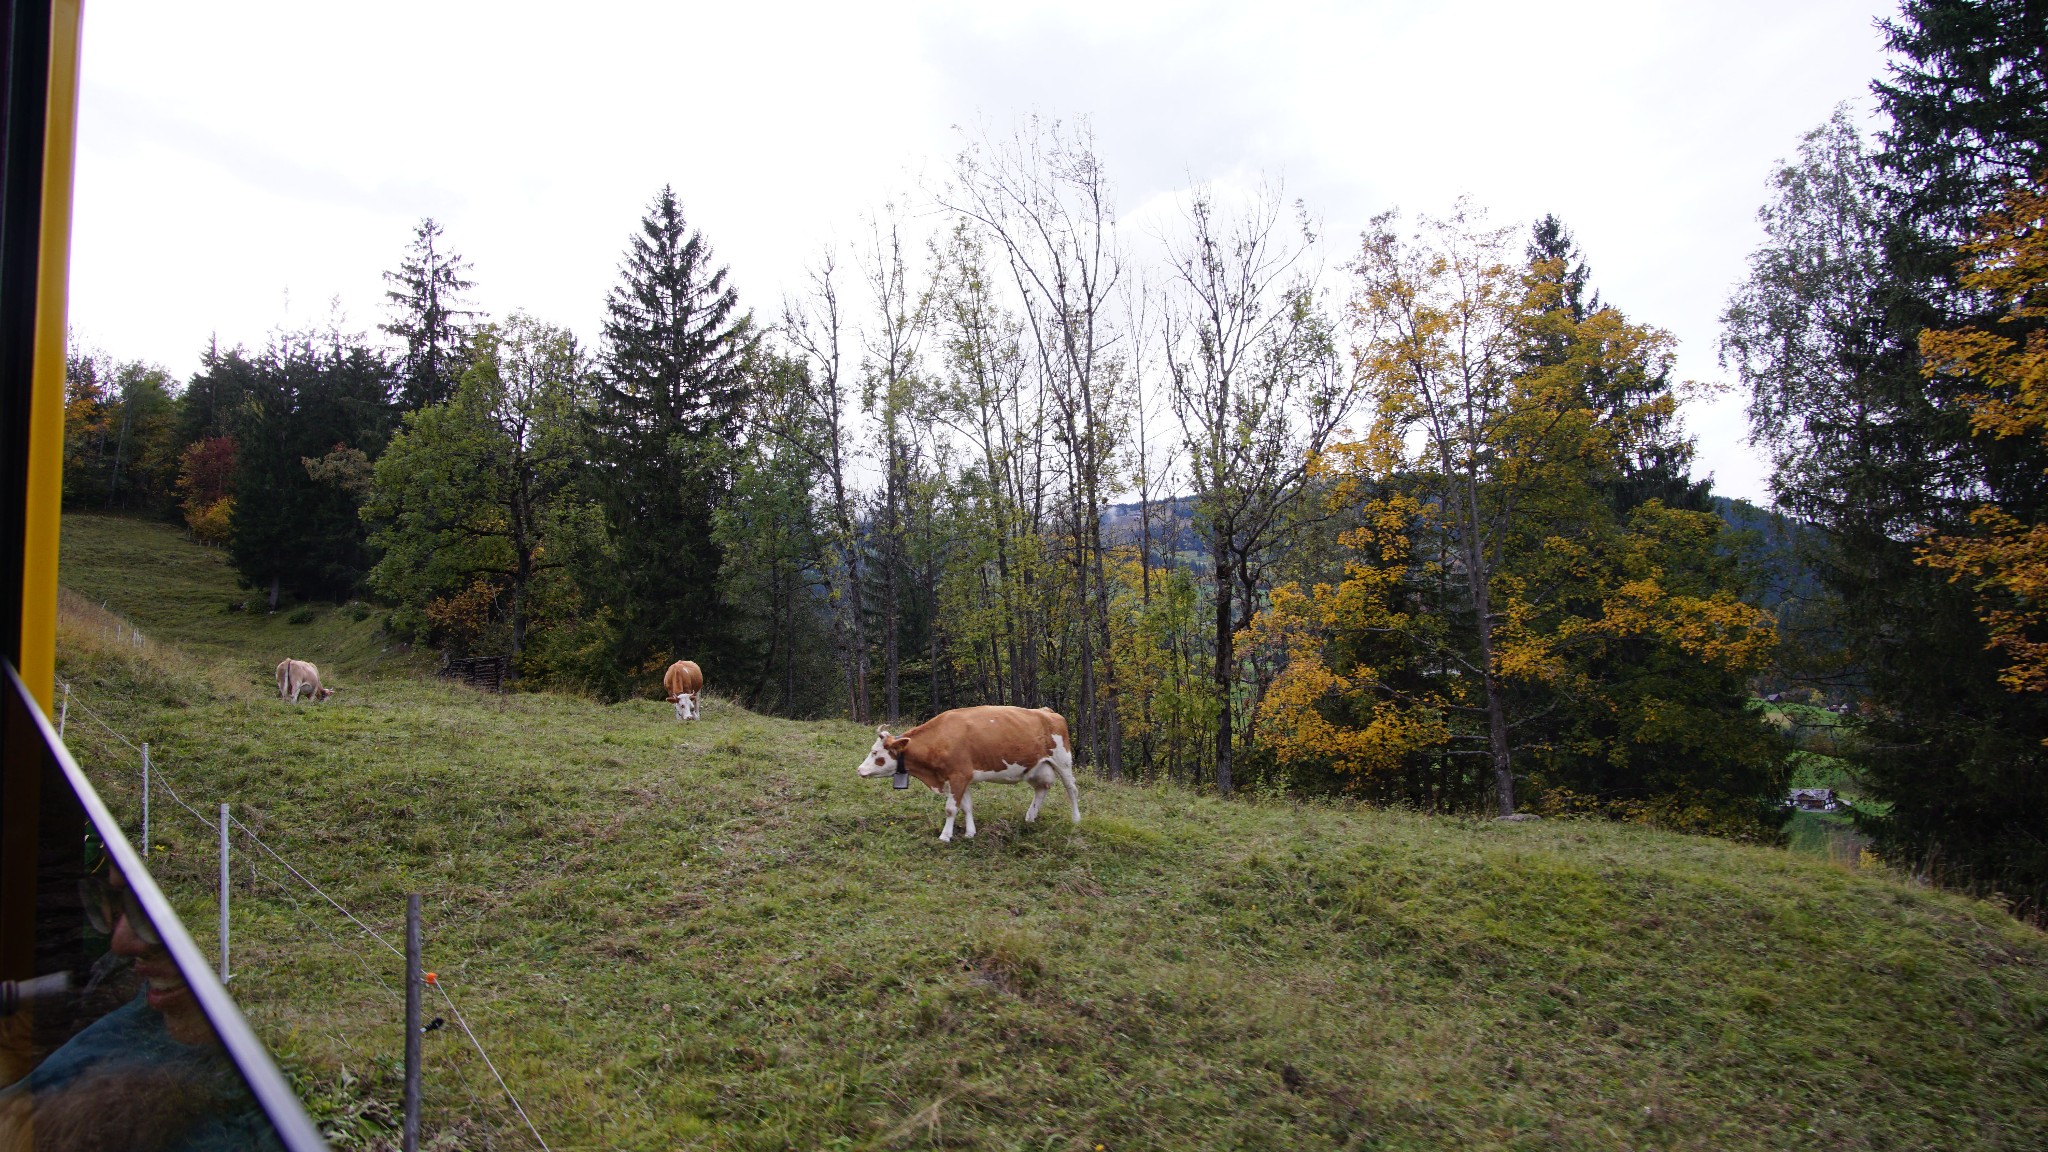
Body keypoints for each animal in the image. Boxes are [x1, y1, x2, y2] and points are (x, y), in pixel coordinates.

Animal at [851, 705, 1081, 840]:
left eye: (875, 752)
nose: (859, 769)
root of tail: (1047, 711)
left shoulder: (958, 776)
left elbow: (951, 808)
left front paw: (945, 836)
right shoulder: (962, 777)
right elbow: (967, 806)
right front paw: (970, 832)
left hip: (1062, 761)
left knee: (1071, 789)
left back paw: (1076, 819)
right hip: (1035, 768)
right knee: (1041, 789)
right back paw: (1030, 817)